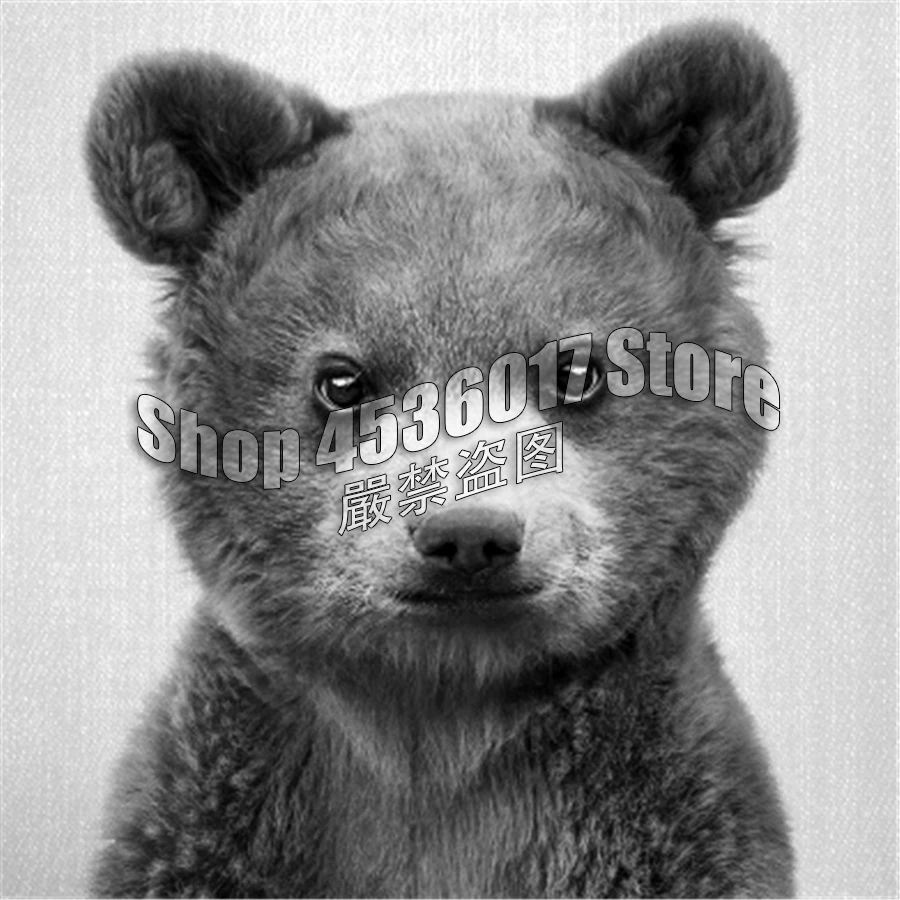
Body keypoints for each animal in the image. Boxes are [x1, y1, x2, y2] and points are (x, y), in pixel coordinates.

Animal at [86, 19, 798, 898]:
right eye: (342, 379)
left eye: (577, 367)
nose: (467, 535)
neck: (442, 713)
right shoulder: (213, 817)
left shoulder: (670, 824)